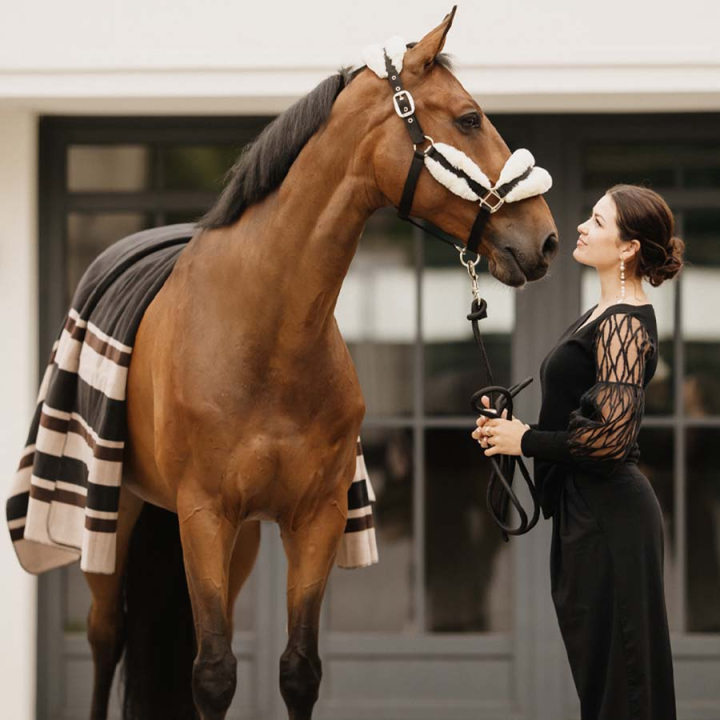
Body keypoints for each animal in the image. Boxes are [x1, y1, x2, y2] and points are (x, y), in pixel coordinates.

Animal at [81, 9, 558, 720]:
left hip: (233, 539)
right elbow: (213, 673)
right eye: (470, 118)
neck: (265, 336)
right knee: (105, 640)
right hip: (113, 517)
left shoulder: (315, 519)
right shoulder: (204, 514)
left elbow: (298, 669)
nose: (547, 239)